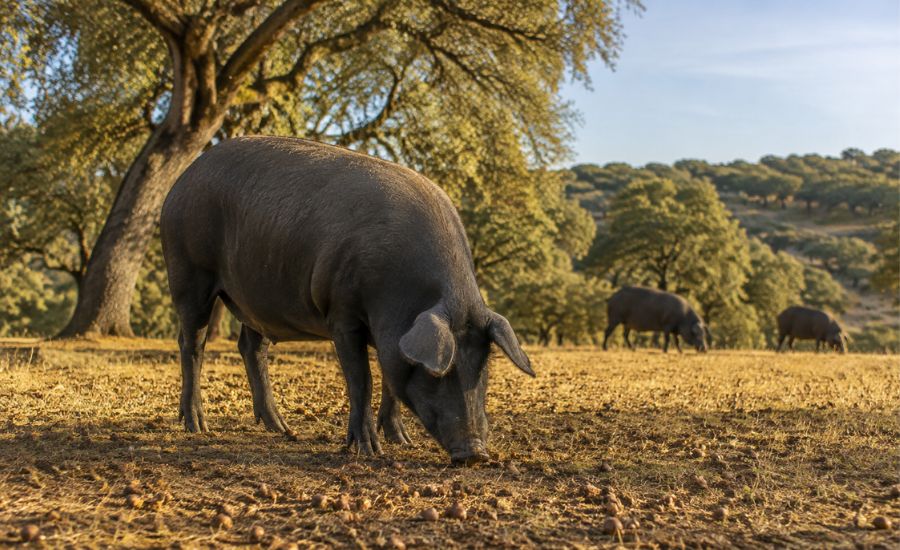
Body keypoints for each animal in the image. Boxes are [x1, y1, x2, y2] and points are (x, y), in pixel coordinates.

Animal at [159, 136, 534, 464]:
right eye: (439, 371)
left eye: (483, 366)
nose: (475, 454)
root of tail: (181, 182)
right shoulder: (342, 313)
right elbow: (361, 379)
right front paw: (369, 450)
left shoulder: (391, 336)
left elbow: (390, 378)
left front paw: (402, 441)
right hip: (189, 271)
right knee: (192, 342)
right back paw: (197, 426)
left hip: (256, 297)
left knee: (251, 347)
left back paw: (281, 429)